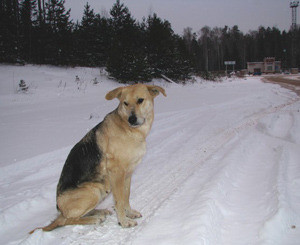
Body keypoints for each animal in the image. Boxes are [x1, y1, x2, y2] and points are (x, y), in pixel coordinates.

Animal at [29, 83, 166, 234]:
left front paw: (129, 213)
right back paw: (94, 219)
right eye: (125, 103)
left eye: (140, 100)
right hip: (93, 191)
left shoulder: (128, 174)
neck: (129, 130)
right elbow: (119, 200)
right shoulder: (117, 173)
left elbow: (126, 197)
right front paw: (123, 222)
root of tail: (59, 210)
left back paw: (100, 212)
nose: (132, 119)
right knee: (67, 220)